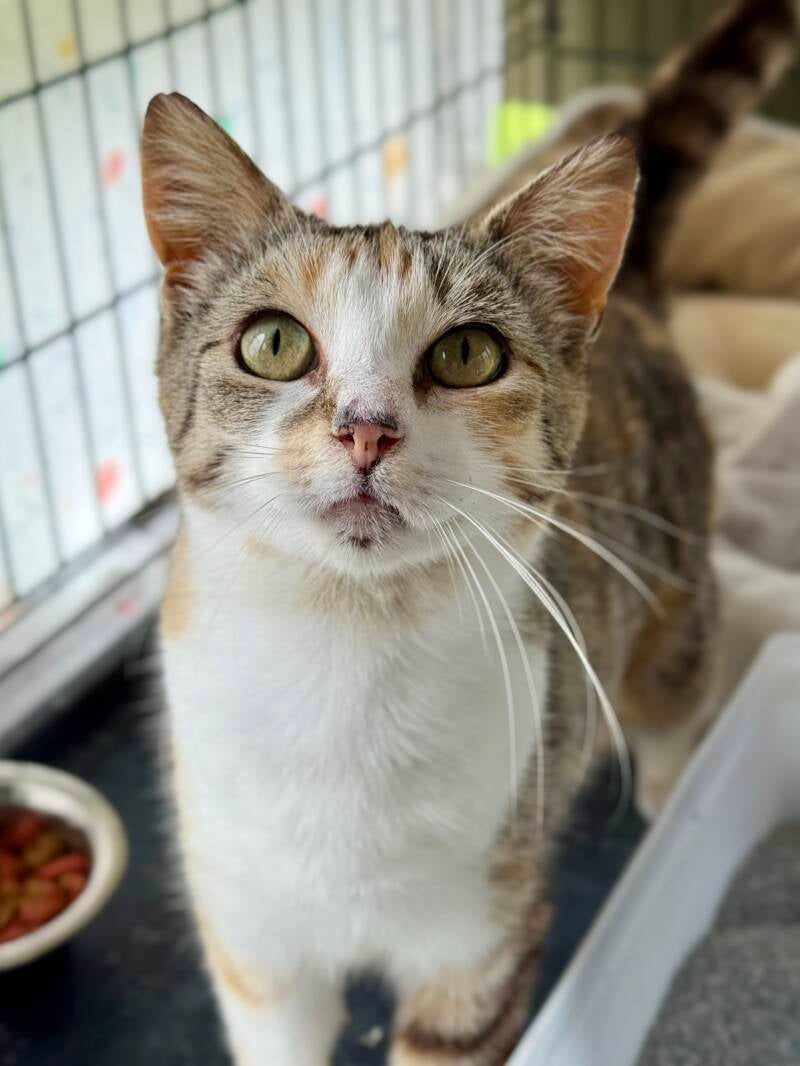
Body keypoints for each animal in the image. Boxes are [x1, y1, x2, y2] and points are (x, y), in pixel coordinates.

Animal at [141, 1, 796, 1063]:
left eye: (469, 354)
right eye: (272, 342)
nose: (366, 428)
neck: (345, 649)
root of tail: (635, 301)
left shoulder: (481, 933)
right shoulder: (254, 940)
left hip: (675, 596)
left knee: (675, 691)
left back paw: (673, 795)